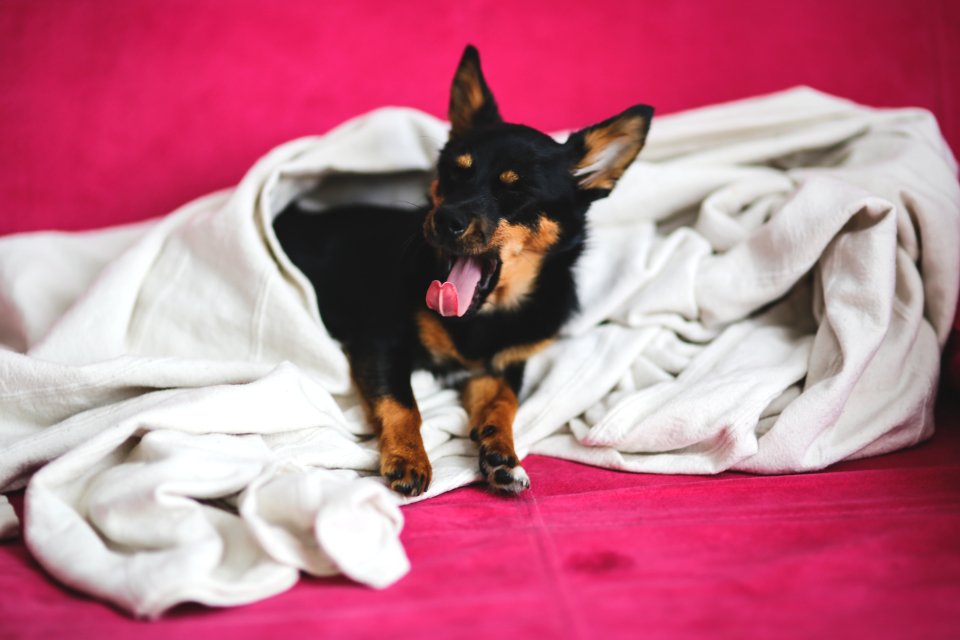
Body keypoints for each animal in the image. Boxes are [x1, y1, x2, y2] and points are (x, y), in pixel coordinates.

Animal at [274, 46, 656, 496]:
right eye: (454, 173)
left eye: (517, 192)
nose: (445, 219)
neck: (486, 314)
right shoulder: (379, 342)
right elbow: (402, 402)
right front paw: (408, 457)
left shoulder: (502, 367)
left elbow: (505, 403)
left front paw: (503, 455)